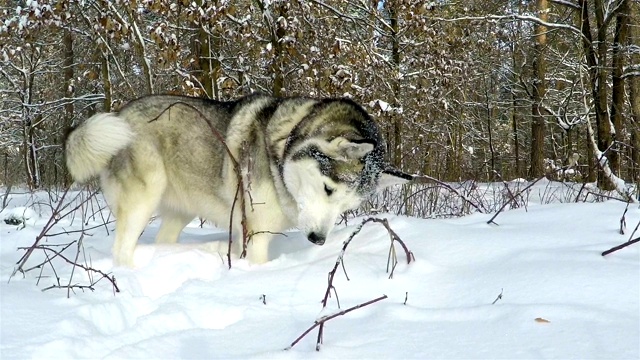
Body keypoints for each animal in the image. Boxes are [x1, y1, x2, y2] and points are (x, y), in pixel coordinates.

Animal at [65, 94, 412, 266]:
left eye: (346, 207)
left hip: (180, 210)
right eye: (328, 189)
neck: (280, 149)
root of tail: (120, 114)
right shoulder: (256, 233)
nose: (318, 240)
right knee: (122, 250)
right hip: (143, 198)